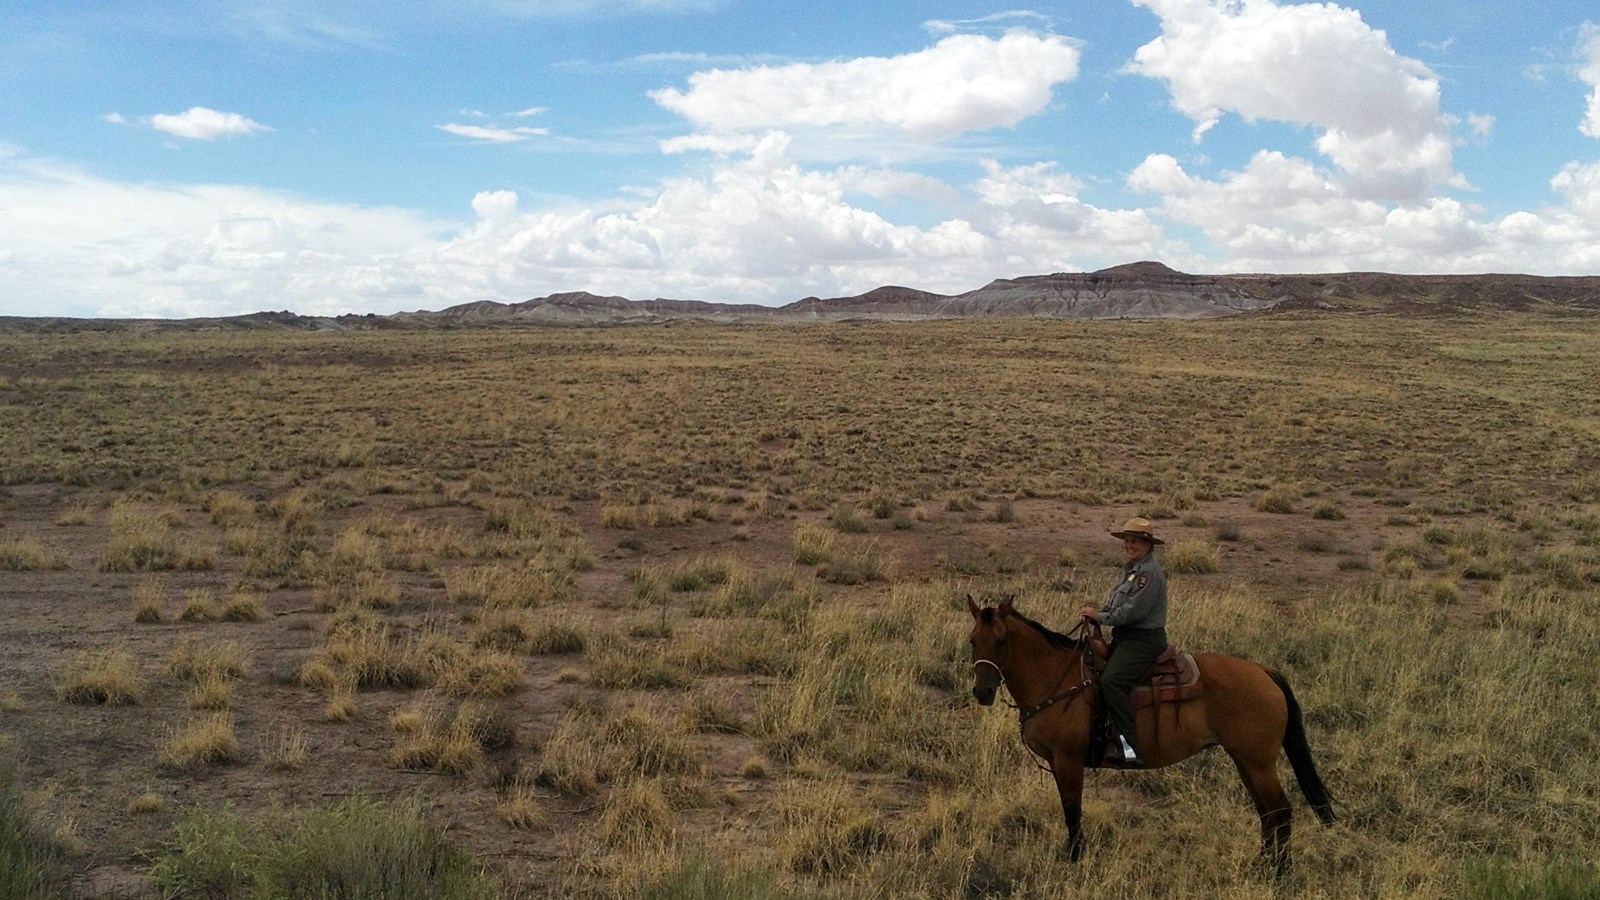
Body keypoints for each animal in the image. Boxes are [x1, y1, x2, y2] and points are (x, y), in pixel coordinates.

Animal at [967, 596, 1334, 875]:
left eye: (1002, 640)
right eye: (972, 640)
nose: (982, 692)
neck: (1056, 676)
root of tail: (1264, 671)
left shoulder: (1068, 760)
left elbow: (1073, 810)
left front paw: (1075, 859)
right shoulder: (1059, 763)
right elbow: (1068, 808)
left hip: (1258, 763)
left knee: (1281, 811)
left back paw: (1280, 874)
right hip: (1245, 761)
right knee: (1267, 813)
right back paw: (1261, 865)